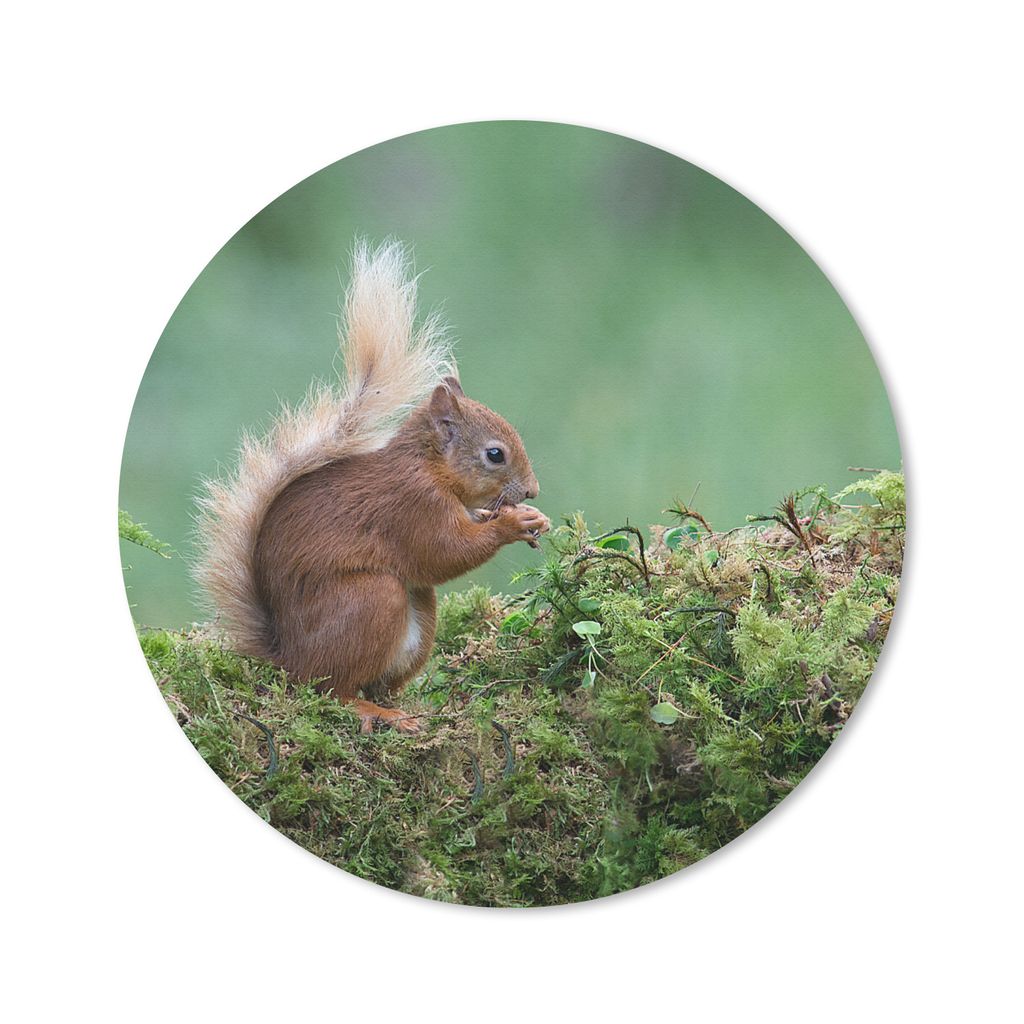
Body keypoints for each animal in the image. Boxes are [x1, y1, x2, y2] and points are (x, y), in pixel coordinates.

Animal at [194, 241, 550, 734]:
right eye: (495, 454)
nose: (532, 491)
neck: (429, 467)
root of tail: (287, 658)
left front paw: (523, 517)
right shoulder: (412, 505)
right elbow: (444, 552)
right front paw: (512, 524)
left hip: (418, 618)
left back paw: (402, 708)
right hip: (371, 600)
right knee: (331, 689)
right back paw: (373, 712)